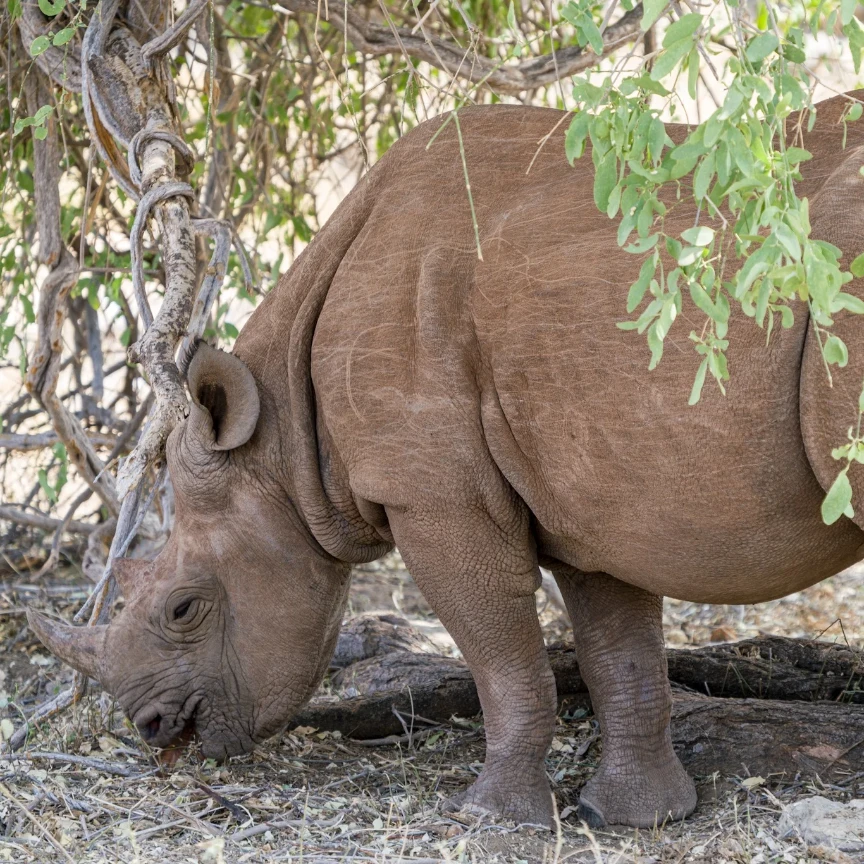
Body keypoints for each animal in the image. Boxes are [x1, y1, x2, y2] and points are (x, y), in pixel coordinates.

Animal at [29, 90, 864, 829]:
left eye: (183, 607)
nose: (153, 728)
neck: (279, 444)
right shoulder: (590, 491)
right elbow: (618, 649)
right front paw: (637, 816)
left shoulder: (434, 495)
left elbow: (501, 657)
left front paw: (490, 816)